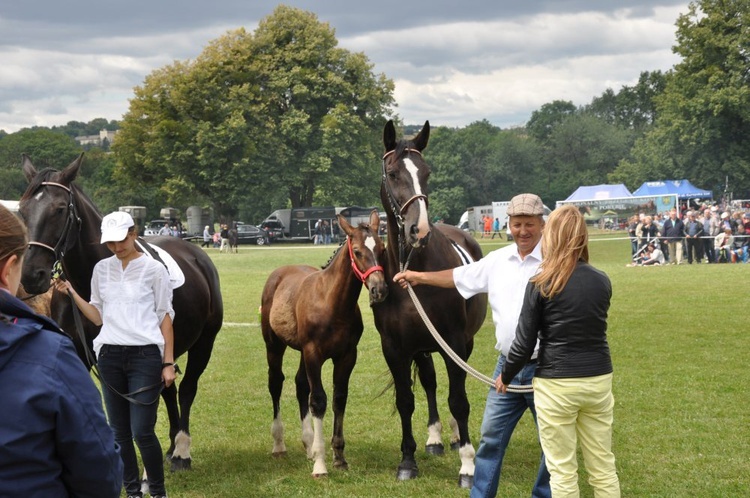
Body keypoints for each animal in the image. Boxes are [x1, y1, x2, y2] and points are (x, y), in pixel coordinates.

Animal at [17, 155, 223, 470]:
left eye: (60, 209)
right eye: (23, 210)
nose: (31, 275)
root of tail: (197, 254)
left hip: (204, 342)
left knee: (187, 389)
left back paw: (181, 451)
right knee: (168, 390)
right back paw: (171, 446)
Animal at [262, 210, 388, 474]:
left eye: (382, 248)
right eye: (358, 251)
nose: (379, 289)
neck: (332, 303)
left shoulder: (347, 356)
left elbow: (339, 398)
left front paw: (338, 456)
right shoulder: (314, 354)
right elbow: (319, 400)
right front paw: (321, 464)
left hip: (301, 351)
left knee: (300, 385)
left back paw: (308, 444)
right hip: (274, 345)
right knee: (276, 383)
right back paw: (279, 444)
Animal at [374, 120, 490, 486]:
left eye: (426, 172)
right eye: (393, 173)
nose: (419, 229)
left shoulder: (453, 340)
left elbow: (459, 400)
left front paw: (468, 465)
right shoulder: (395, 348)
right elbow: (406, 399)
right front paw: (407, 460)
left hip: (461, 342)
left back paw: (453, 437)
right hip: (423, 348)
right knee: (429, 382)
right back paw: (435, 438)